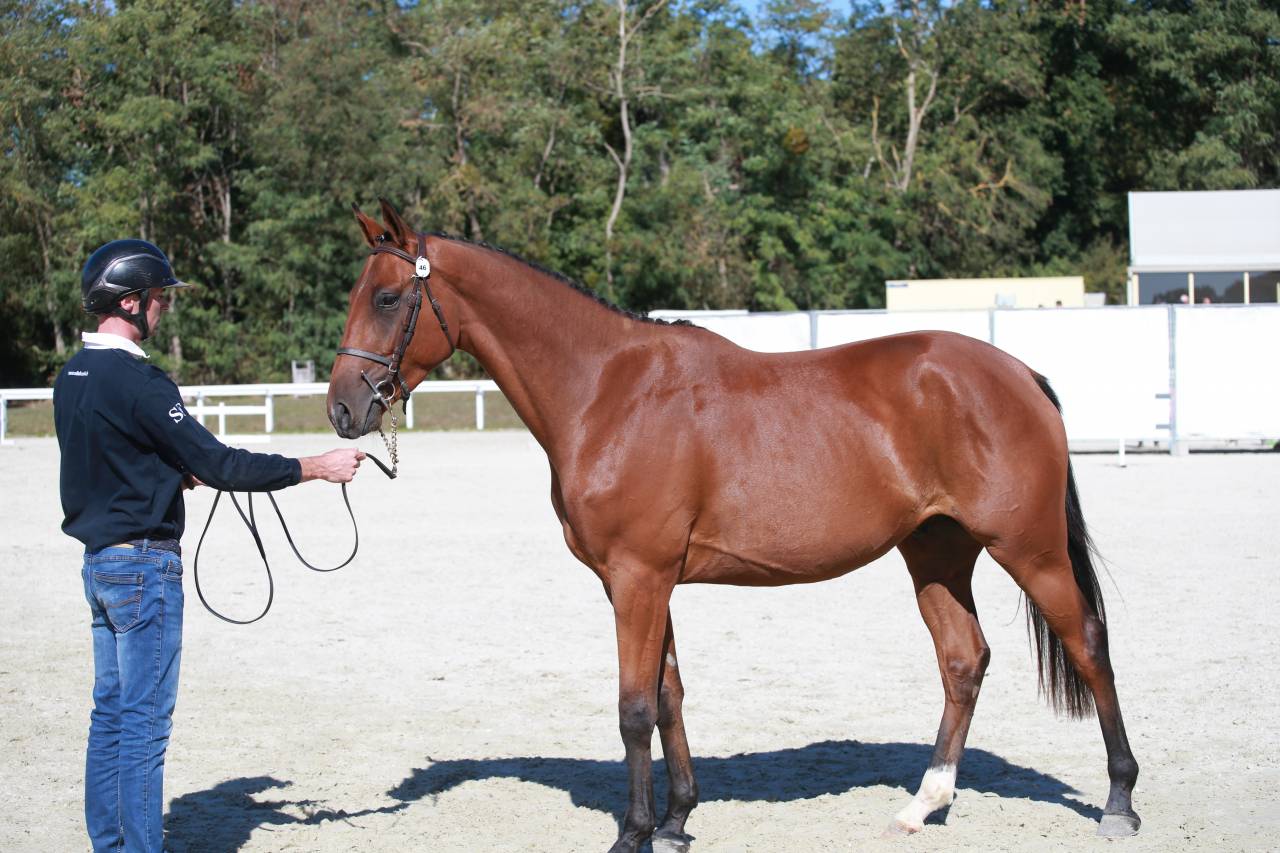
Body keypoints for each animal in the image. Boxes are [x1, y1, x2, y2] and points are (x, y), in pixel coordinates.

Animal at [326, 200, 1140, 852]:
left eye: (389, 296)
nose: (342, 408)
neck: (606, 390)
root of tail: (1020, 375)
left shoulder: (639, 579)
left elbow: (633, 709)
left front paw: (632, 833)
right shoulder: (645, 582)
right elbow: (669, 696)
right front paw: (677, 820)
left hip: (1028, 548)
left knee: (1089, 643)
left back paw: (1119, 801)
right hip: (936, 552)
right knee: (963, 660)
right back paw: (923, 805)